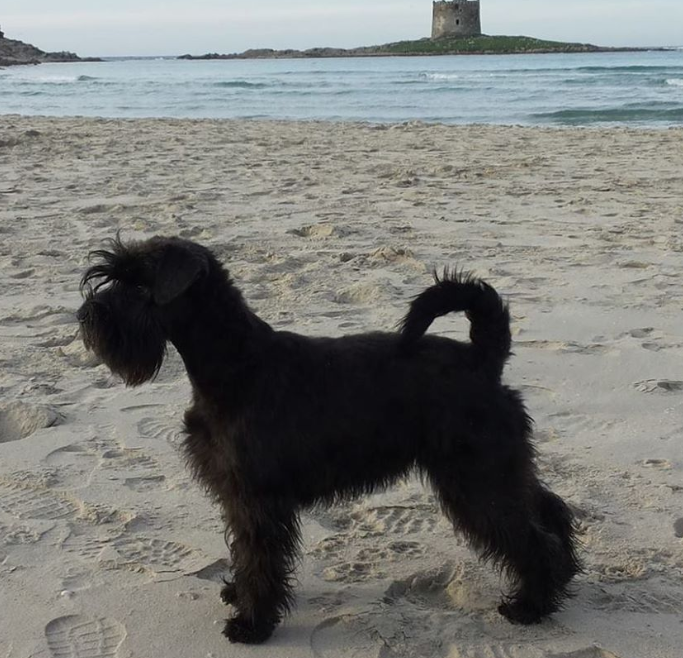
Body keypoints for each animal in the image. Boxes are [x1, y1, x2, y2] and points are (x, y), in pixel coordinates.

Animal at [80, 234, 584, 640]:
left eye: (140, 286)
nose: (88, 314)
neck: (236, 364)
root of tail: (484, 358)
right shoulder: (238, 496)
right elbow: (243, 552)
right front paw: (238, 594)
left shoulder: (256, 499)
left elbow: (258, 557)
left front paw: (252, 623)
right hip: (500, 470)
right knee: (550, 509)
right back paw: (564, 579)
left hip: (477, 481)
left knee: (531, 537)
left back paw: (531, 606)